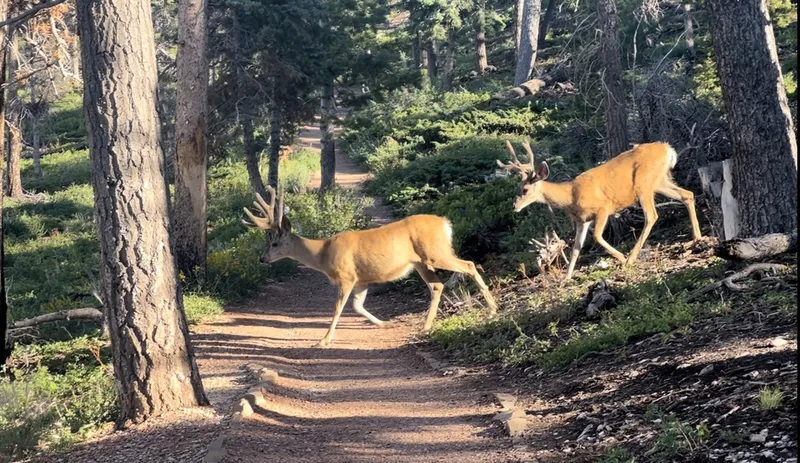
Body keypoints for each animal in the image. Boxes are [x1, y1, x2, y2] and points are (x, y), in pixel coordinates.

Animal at [242, 187, 498, 347]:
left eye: (274, 243)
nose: (262, 259)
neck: (322, 254)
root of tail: (445, 223)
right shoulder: (361, 280)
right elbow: (357, 306)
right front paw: (385, 323)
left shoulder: (346, 276)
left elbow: (338, 308)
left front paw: (323, 340)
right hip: (420, 261)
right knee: (437, 285)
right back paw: (425, 327)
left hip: (435, 253)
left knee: (469, 264)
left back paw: (493, 309)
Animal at [496, 140, 702, 280]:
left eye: (524, 189)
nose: (514, 206)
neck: (570, 195)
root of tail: (669, 150)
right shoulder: (582, 220)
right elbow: (576, 247)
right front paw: (566, 278)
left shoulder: (603, 207)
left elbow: (596, 236)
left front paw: (621, 257)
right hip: (660, 181)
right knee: (687, 194)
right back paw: (697, 238)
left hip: (644, 184)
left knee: (651, 215)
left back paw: (631, 257)